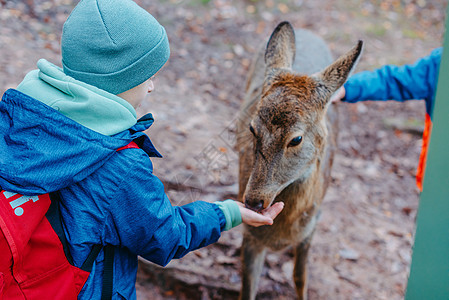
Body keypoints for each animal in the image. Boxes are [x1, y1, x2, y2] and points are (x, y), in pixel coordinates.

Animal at [236, 21, 362, 300]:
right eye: (252, 128)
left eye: (296, 139)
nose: (253, 201)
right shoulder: (251, 235)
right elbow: (247, 288)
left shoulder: (313, 225)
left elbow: (301, 276)